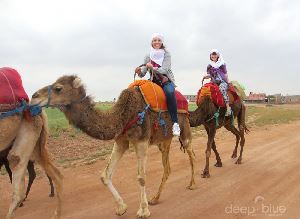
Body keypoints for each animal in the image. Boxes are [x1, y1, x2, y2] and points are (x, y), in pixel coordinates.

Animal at [29, 75, 195, 217]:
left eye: (58, 88)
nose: (34, 97)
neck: (123, 115)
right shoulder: (121, 141)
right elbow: (105, 175)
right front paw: (122, 207)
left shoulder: (141, 141)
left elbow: (141, 177)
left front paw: (143, 210)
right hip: (164, 140)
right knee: (167, 168)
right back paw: (155, 198)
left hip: (184, 127)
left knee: (191, 154)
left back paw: (192, 184)